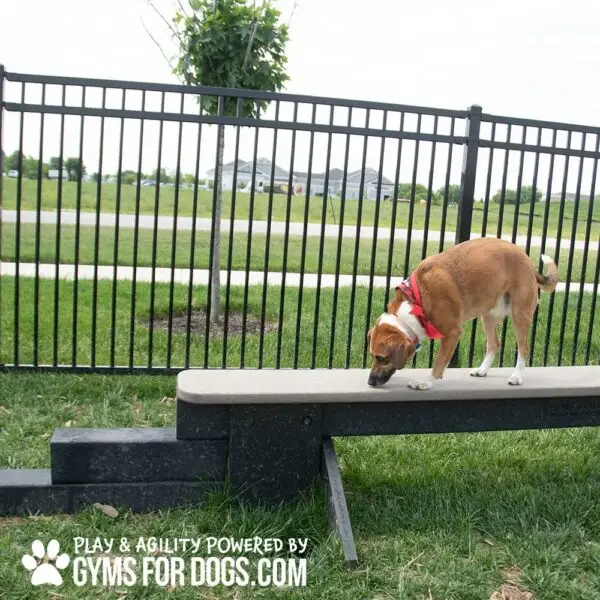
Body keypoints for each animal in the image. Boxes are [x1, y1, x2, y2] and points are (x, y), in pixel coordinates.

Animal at [366, 237, 556, 392]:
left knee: (524, 348)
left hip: (519, 316)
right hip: (487, 316)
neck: (415, 301)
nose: (370, 382)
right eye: (372, 356)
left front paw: (426, 382)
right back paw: (482, 370)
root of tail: (527, 260)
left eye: (382, 358)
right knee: (494, 344)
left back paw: (516, 376)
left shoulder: (452, 333)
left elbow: (439, 362)